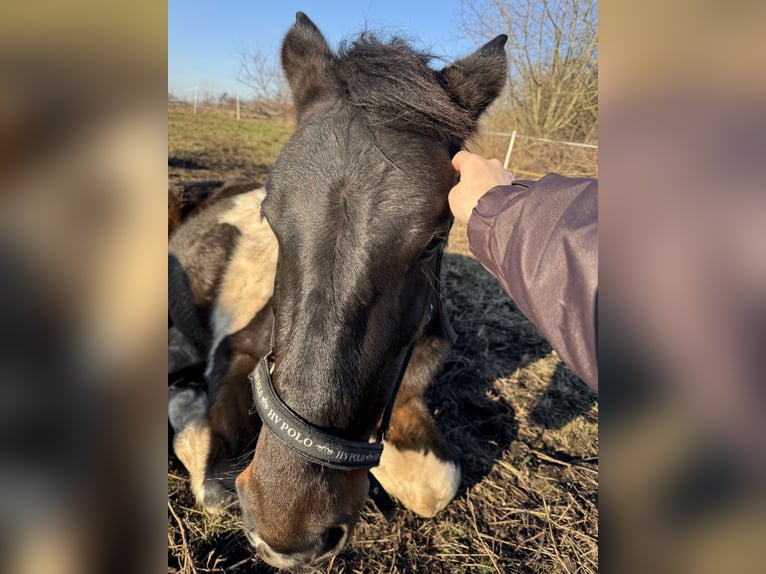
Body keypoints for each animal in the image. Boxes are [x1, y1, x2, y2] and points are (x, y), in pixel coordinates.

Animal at [171, 13, 512, 572]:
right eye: (270, 217)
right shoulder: (235, 352)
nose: (289, 532)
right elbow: (215, 482)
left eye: (433, 240)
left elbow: (435, 484)